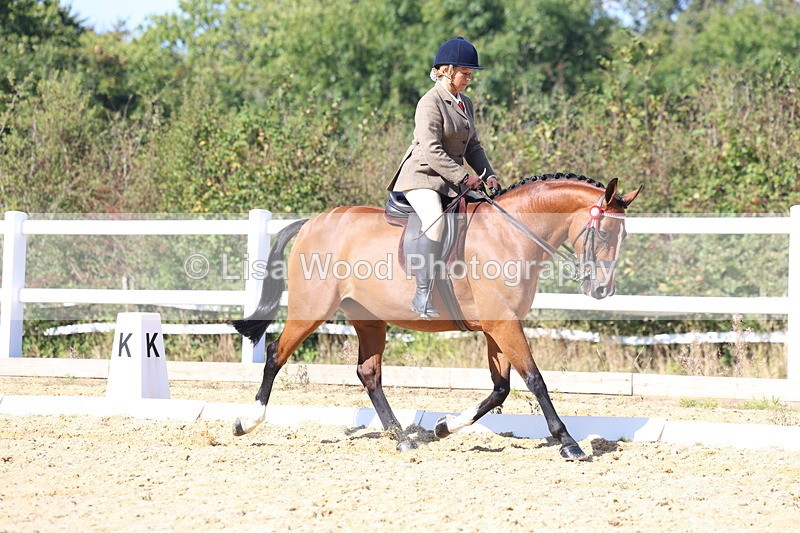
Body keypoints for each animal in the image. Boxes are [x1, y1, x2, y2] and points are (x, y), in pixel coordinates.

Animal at [232, 173, 642, 460]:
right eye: (605, 233)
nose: (602, 290)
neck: (510, 234)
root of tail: (312, 222)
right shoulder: (503, 324)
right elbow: (535, 380)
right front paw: (568, 442)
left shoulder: (497, 326)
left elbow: (500, 389)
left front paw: (445, 426)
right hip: (312, 310)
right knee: (275, 354)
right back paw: (247, 423)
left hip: (369, 319)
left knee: (369, 373)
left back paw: (402, 439)